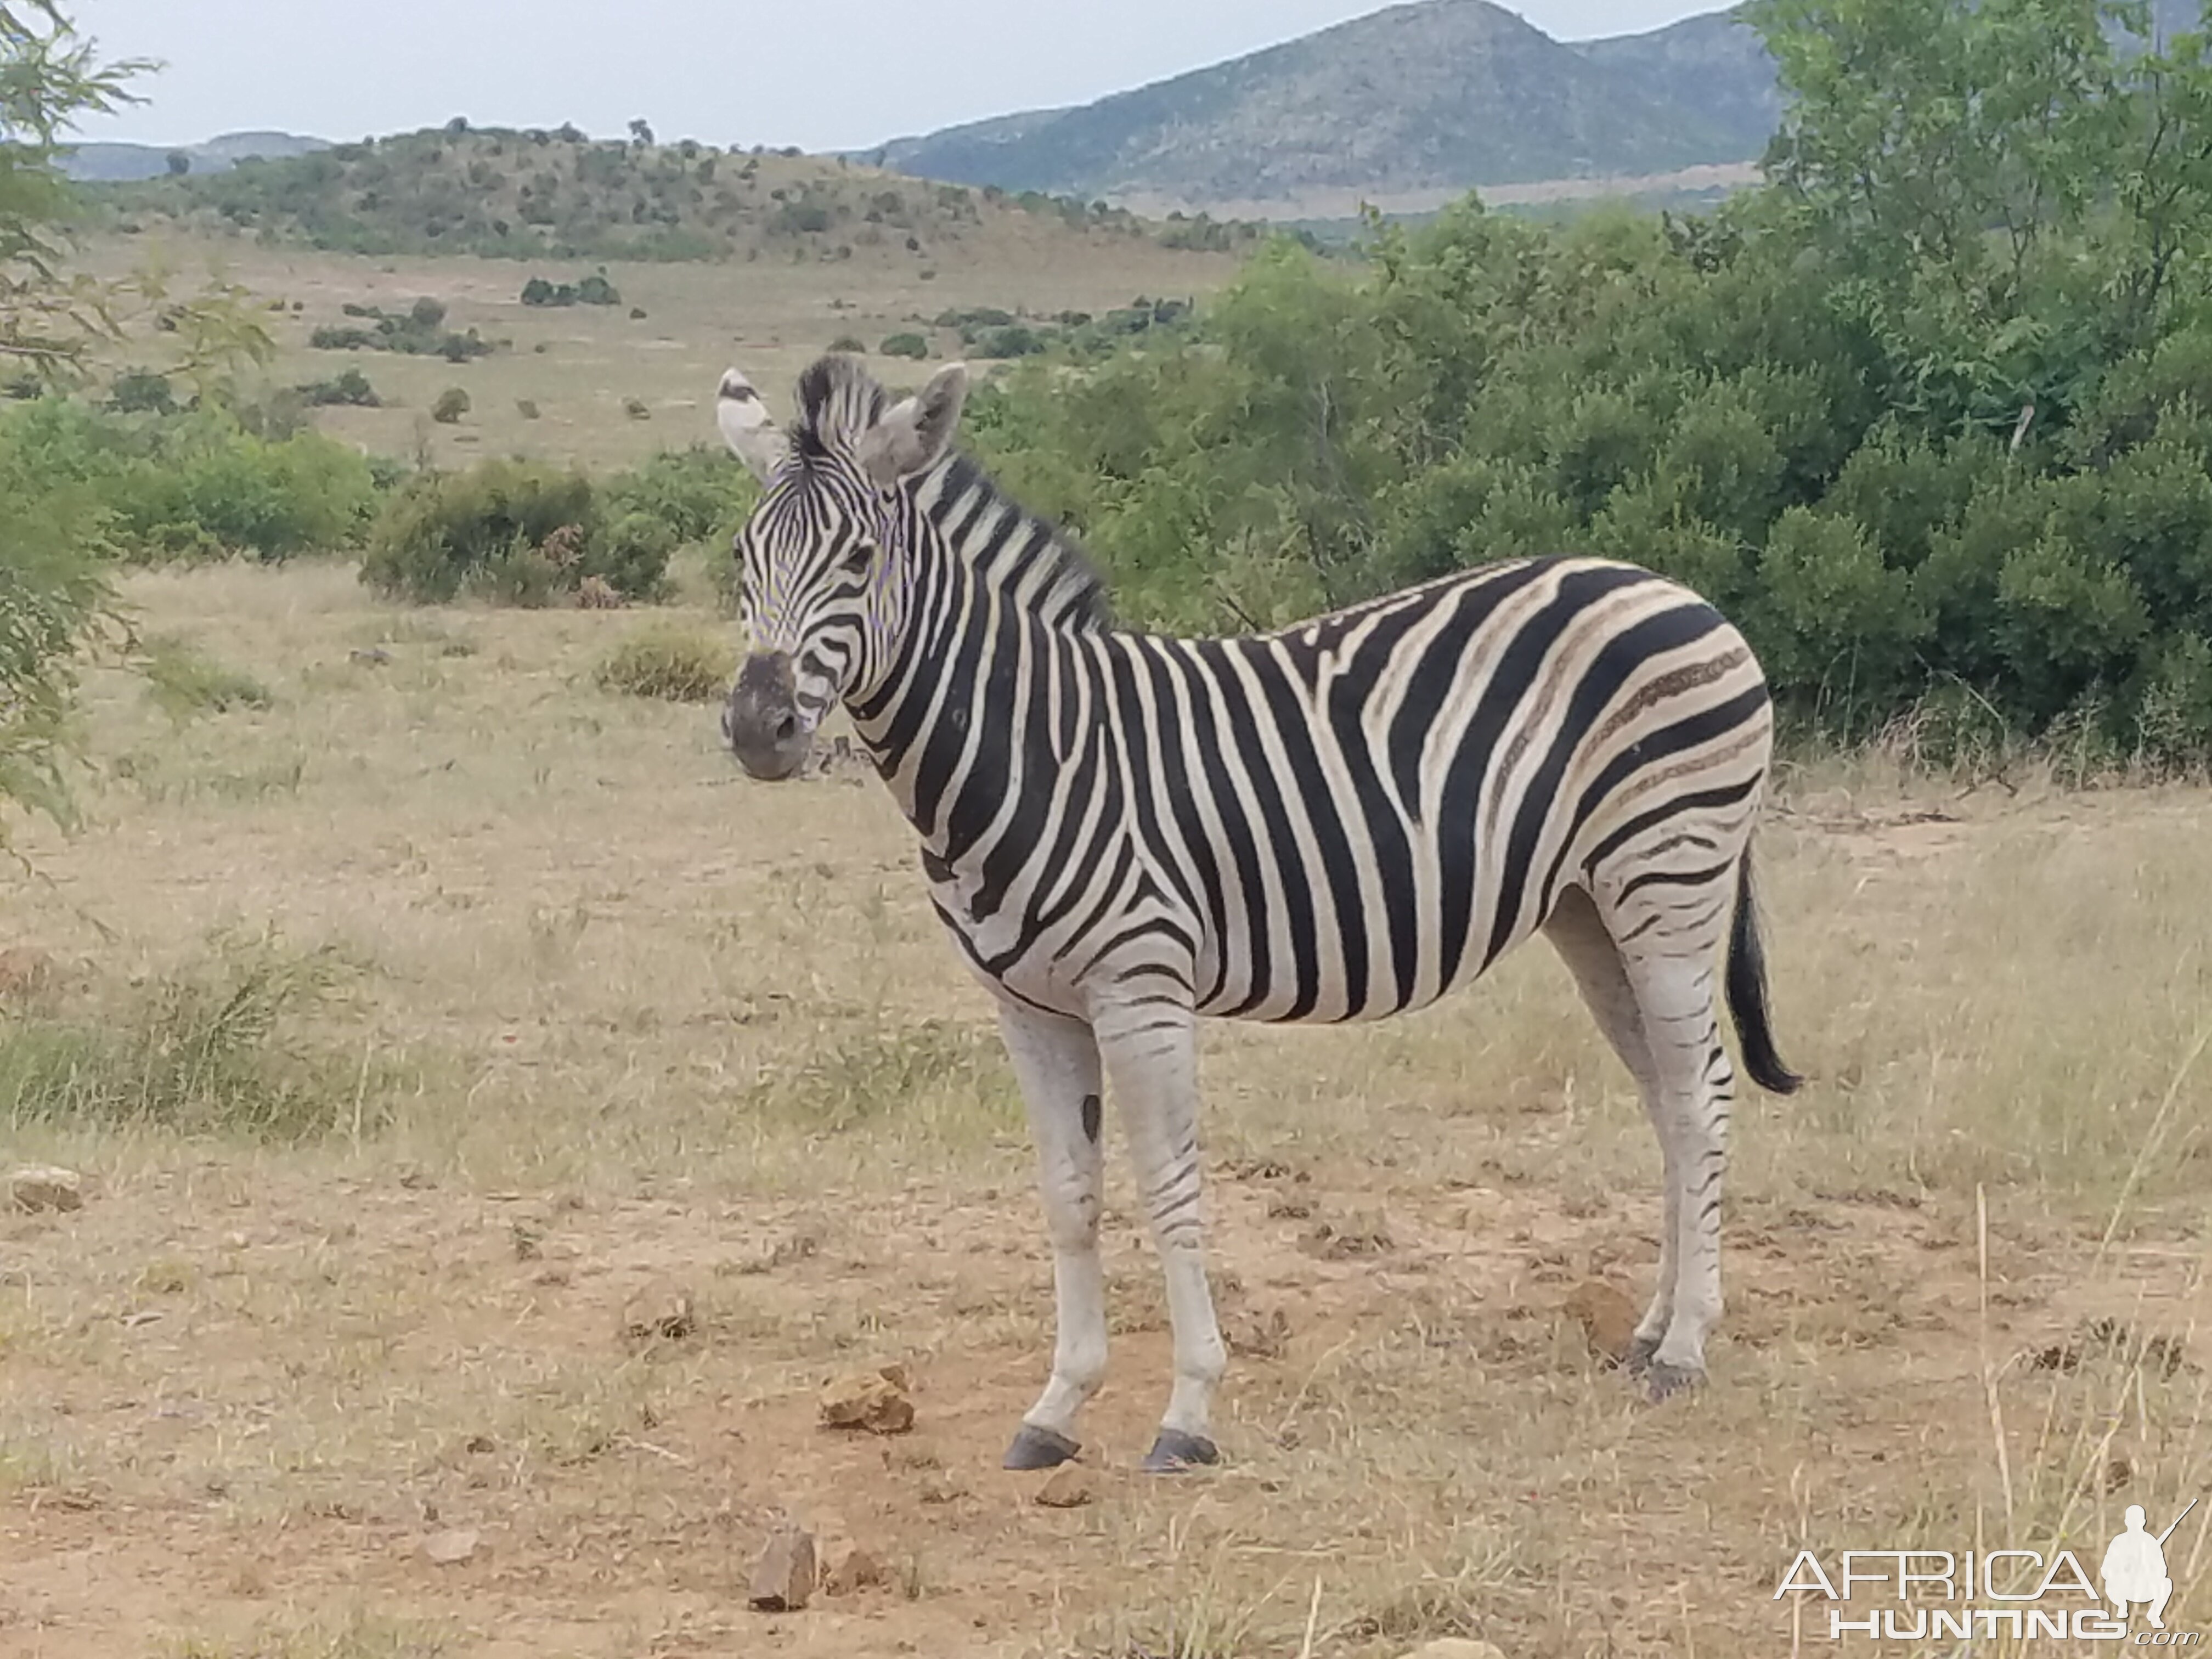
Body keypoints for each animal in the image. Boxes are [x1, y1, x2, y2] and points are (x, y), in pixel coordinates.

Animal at [716, 354, 1805, 1477]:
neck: (1034, 742)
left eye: (859, 558)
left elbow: (1168, 1185)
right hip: (1591, 906)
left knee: (1700, 1091)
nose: (759, 728)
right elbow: (1068, 1196)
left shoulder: (1140, 987)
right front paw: (1057, 1405)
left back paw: (1685, 1347)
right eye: (744, 559)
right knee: (1663, 1095)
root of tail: (1675, 589)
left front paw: (1188, 1410)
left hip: (1669, 878)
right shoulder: (1028, 1007)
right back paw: (1649, 1328)